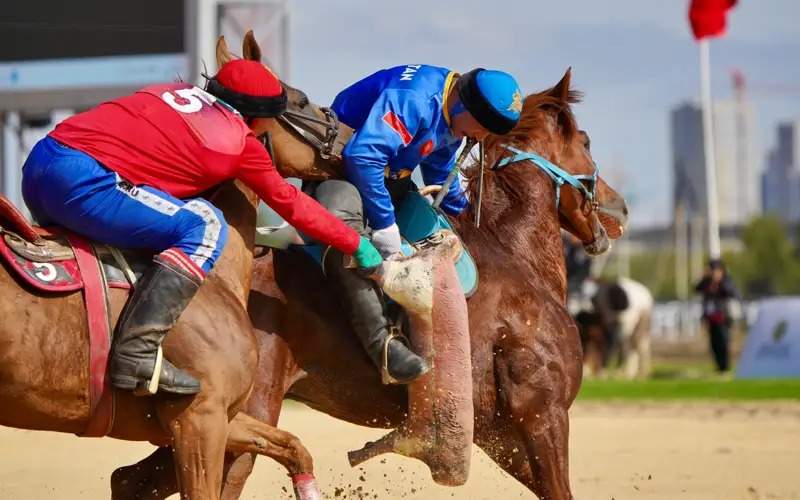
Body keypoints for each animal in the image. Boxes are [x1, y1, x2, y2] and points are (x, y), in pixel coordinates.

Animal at [1, 35, 324, 500]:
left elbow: (293, 447)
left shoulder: (222, 416)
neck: (218, 281)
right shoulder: (199, 417)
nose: (348, 137)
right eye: (299, 100)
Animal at [111, 67, 624, 500]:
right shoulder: (541, 417)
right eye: (586, 140)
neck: (510, 251)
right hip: (232, 415)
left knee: (129, 480)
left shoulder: (502, 436)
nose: (618, 210)